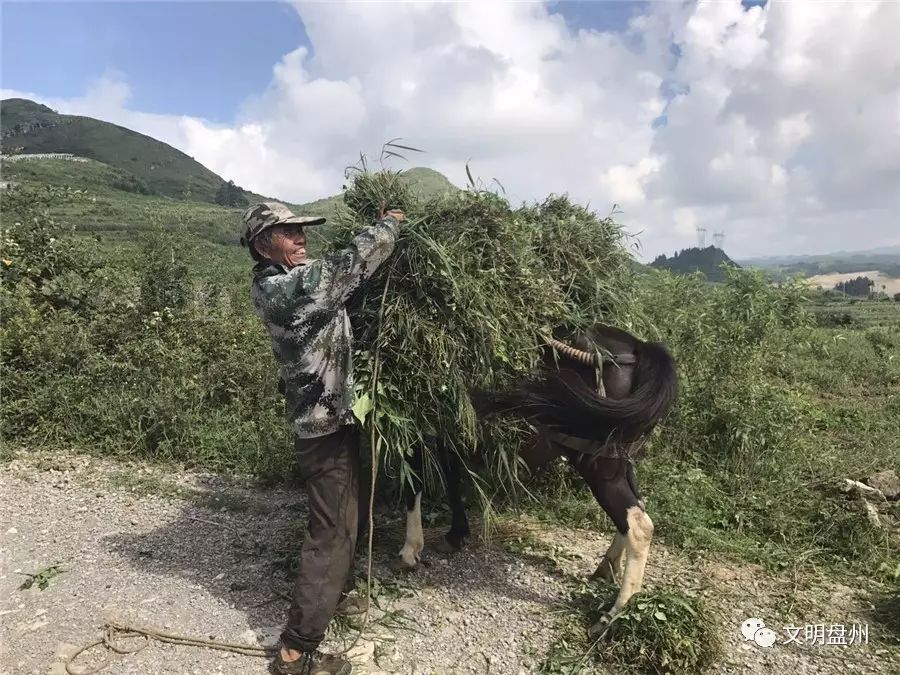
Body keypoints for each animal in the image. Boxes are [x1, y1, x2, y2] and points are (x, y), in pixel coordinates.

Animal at [392, 324, 676, 636]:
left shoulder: (418, 422)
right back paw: (606, 569)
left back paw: (610, 618)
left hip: (598, 467)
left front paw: (410, 550)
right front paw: (455, 535)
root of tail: (637, 348)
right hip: (620, 464)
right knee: (635, 510)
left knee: (638, 526)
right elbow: (452, 481)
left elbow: (414, 481)